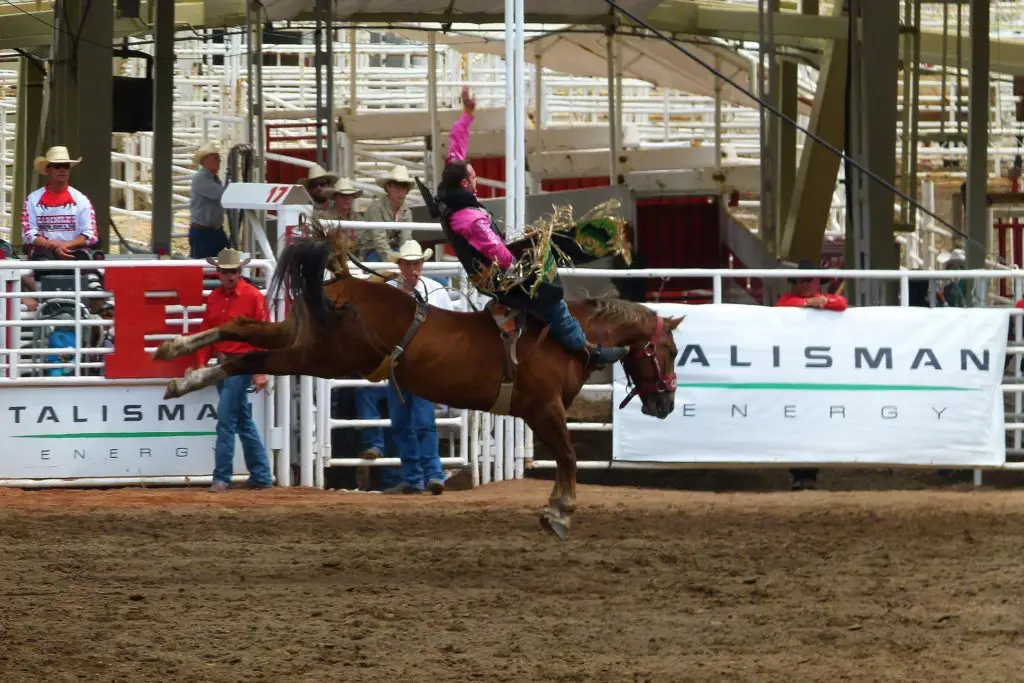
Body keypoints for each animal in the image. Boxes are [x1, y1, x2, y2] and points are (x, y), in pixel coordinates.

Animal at [153, 223, 679, 540]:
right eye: (670, 351)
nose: (667, 405)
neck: (571, 335)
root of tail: (341, 283)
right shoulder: (544, 409)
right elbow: (568, 456)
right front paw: (559, 513)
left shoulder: (540, 413)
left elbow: (565, 457)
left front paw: (555, 510)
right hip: (321, 355)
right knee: (250, 356)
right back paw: (186, 367)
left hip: (301, 336)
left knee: (243, 330)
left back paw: (180, 361)